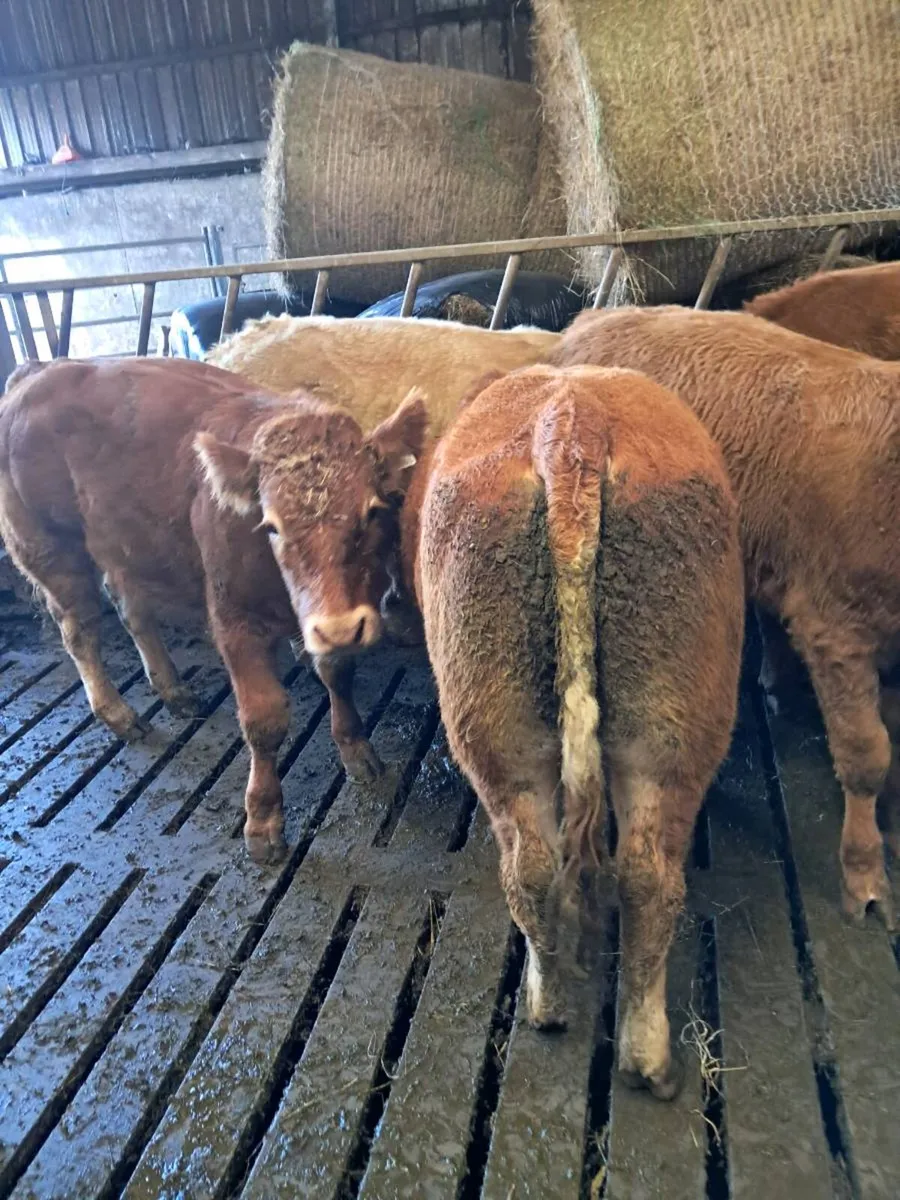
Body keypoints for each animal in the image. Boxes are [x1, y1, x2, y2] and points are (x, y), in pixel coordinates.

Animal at [0, 357, 426, 863]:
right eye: (272, 526)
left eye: (372, 512)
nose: (340, 628)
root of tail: (36, 371)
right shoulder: (234, 620)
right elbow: (263, 719)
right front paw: (262, 819)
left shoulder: (326, 622)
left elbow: (338, 675)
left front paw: (356, 749)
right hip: (49, 548)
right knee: (80, 631)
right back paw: (119, 714)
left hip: (125, 547)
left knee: (132, 610)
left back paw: (172, 689)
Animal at [400, 364, 743, 1097]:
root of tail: (572, 420)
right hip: (650, 725)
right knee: (623, 872)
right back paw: (621, 1038)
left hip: (511, 718)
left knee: (550, 865)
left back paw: (570, 1012)